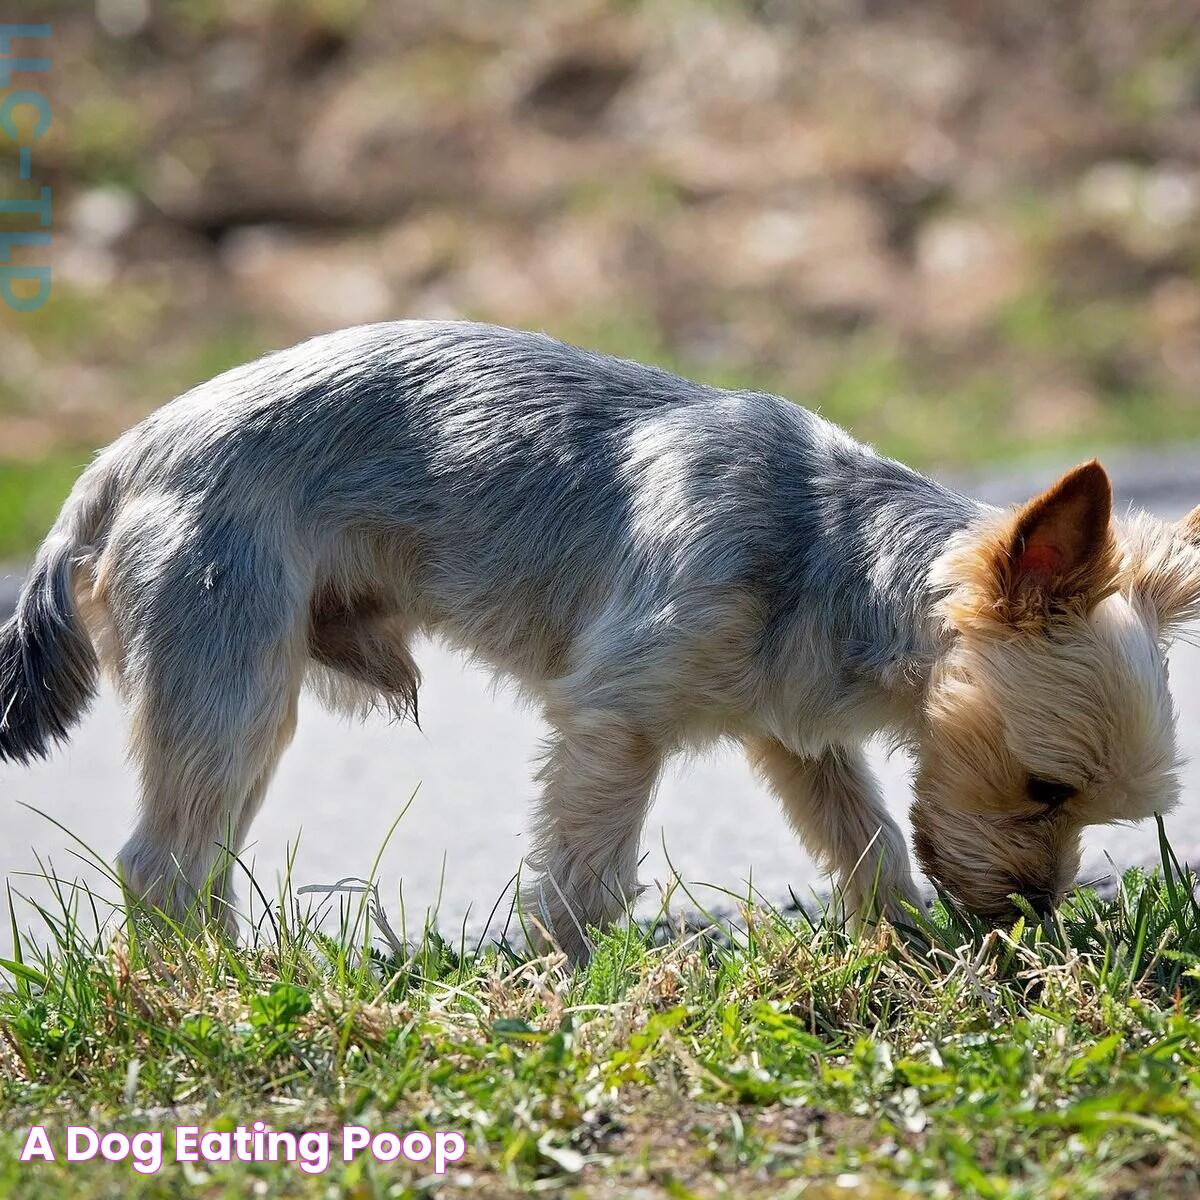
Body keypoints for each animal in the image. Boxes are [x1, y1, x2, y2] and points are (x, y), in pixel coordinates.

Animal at [2, 324, 1200, 960]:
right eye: (1046, 789)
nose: (1033, 918)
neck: (835, 552)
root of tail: (117, 464)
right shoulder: (616, 719)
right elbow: (586, 868)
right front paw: (569, 977)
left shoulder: (797, 733)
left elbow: (862, 836)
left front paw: (902, 943)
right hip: (231, 664)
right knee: (161, 863)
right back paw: (208, 992)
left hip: (247, 688)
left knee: (202, 855)